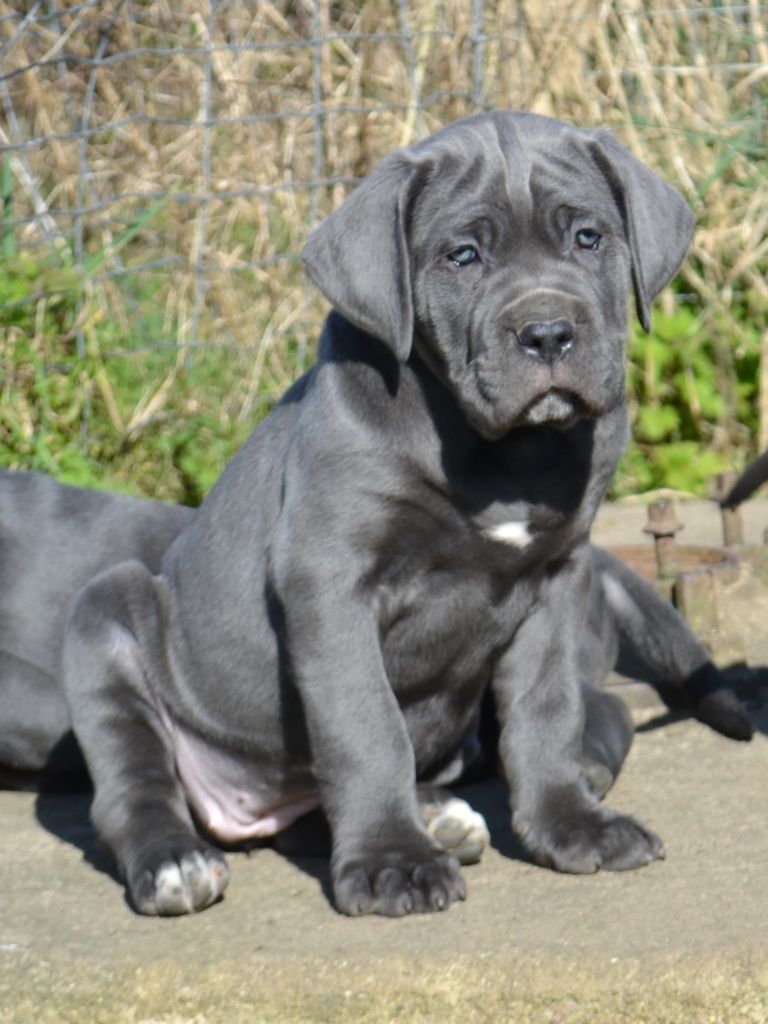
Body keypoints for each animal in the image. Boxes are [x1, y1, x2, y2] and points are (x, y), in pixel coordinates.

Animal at [51, 110, 725, 918]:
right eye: (463, 256)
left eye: (588, 238)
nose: (548, 334)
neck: (503, 452)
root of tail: (244, 807)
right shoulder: (330, 583)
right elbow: (365, 725)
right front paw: (391, 862)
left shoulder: (558, 580)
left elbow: (547, 710)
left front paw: (570, 825)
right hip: (103, 613)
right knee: (131, 784)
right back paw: (177, 863)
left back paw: (440, 816)